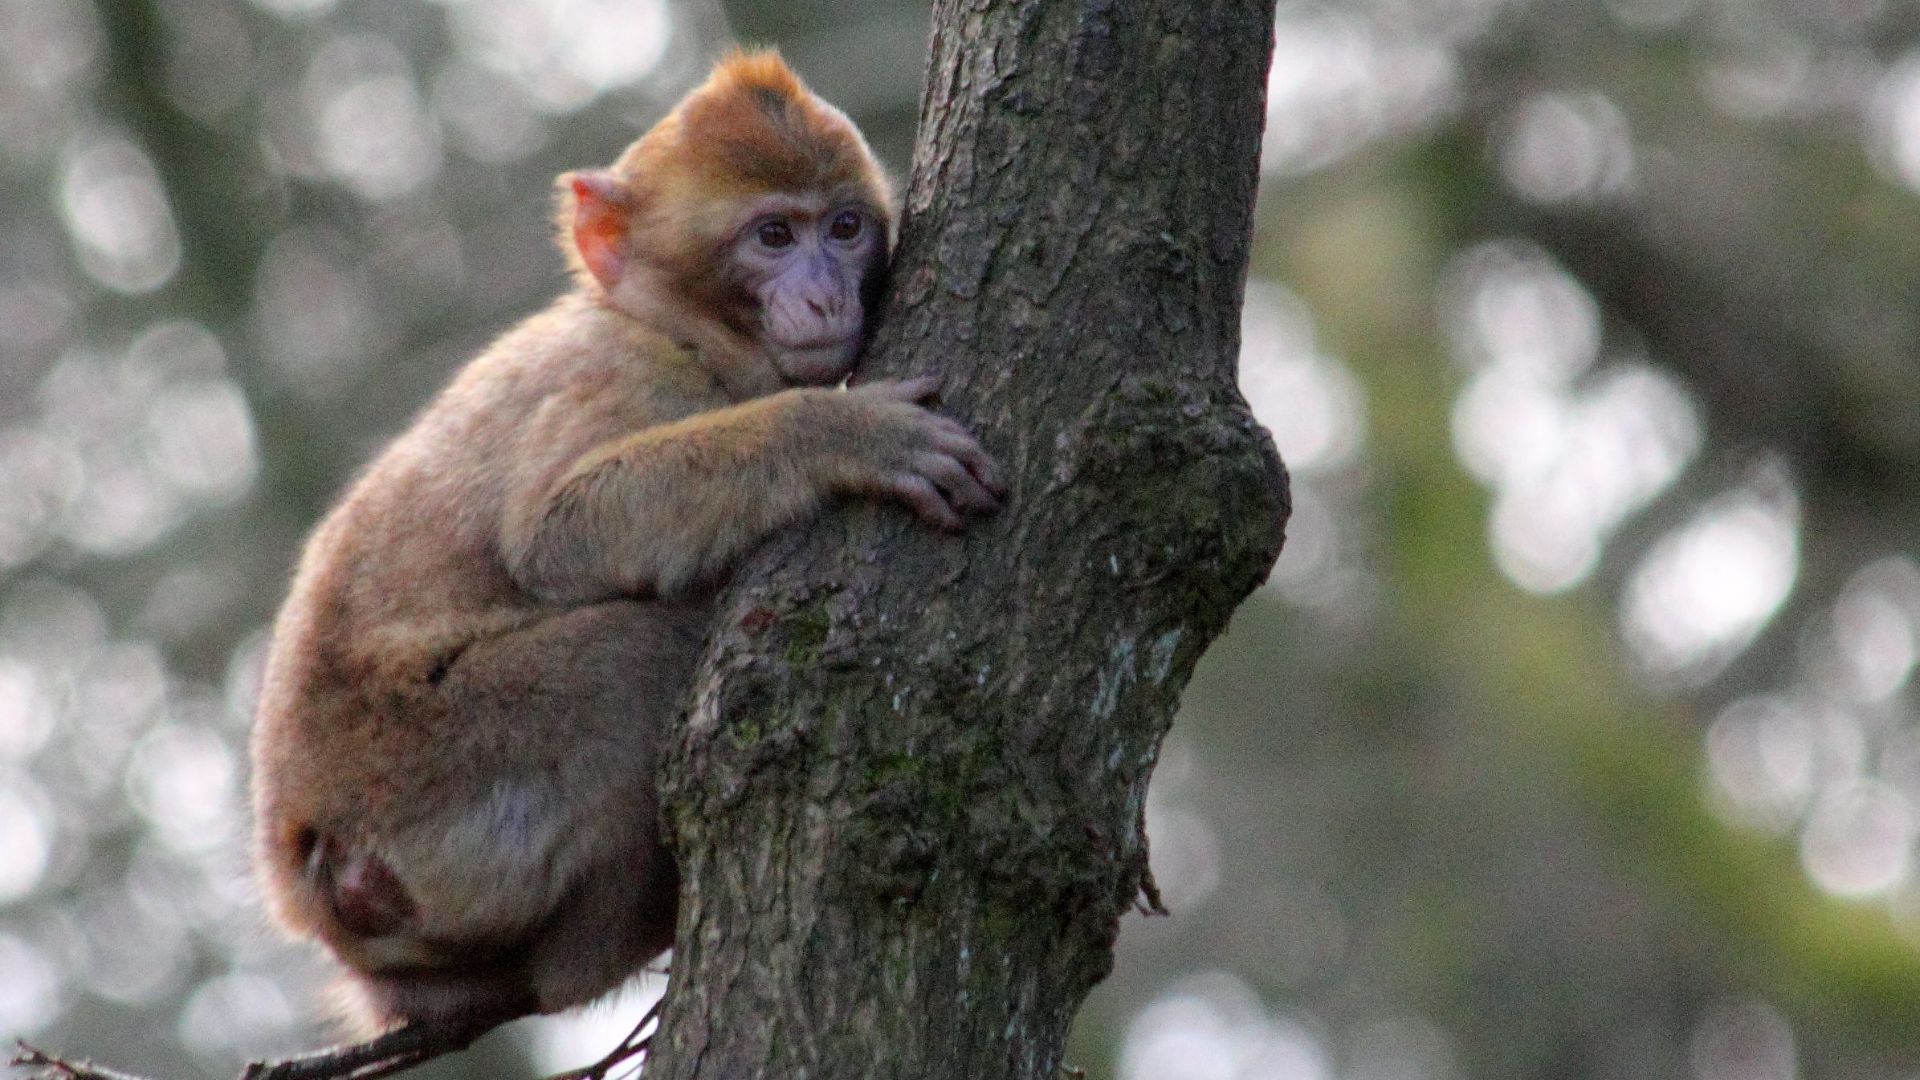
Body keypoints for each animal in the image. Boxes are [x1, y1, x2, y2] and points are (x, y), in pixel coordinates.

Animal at [249, 50, 1004, 1037]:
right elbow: (554, 533)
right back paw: (609, 942)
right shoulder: (627, 380)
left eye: (843, 228)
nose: (825, 292)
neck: (671, 327)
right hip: (426, 771)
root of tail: (307, 869)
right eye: (773, 236)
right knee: (638, 657)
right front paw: (841, 435)